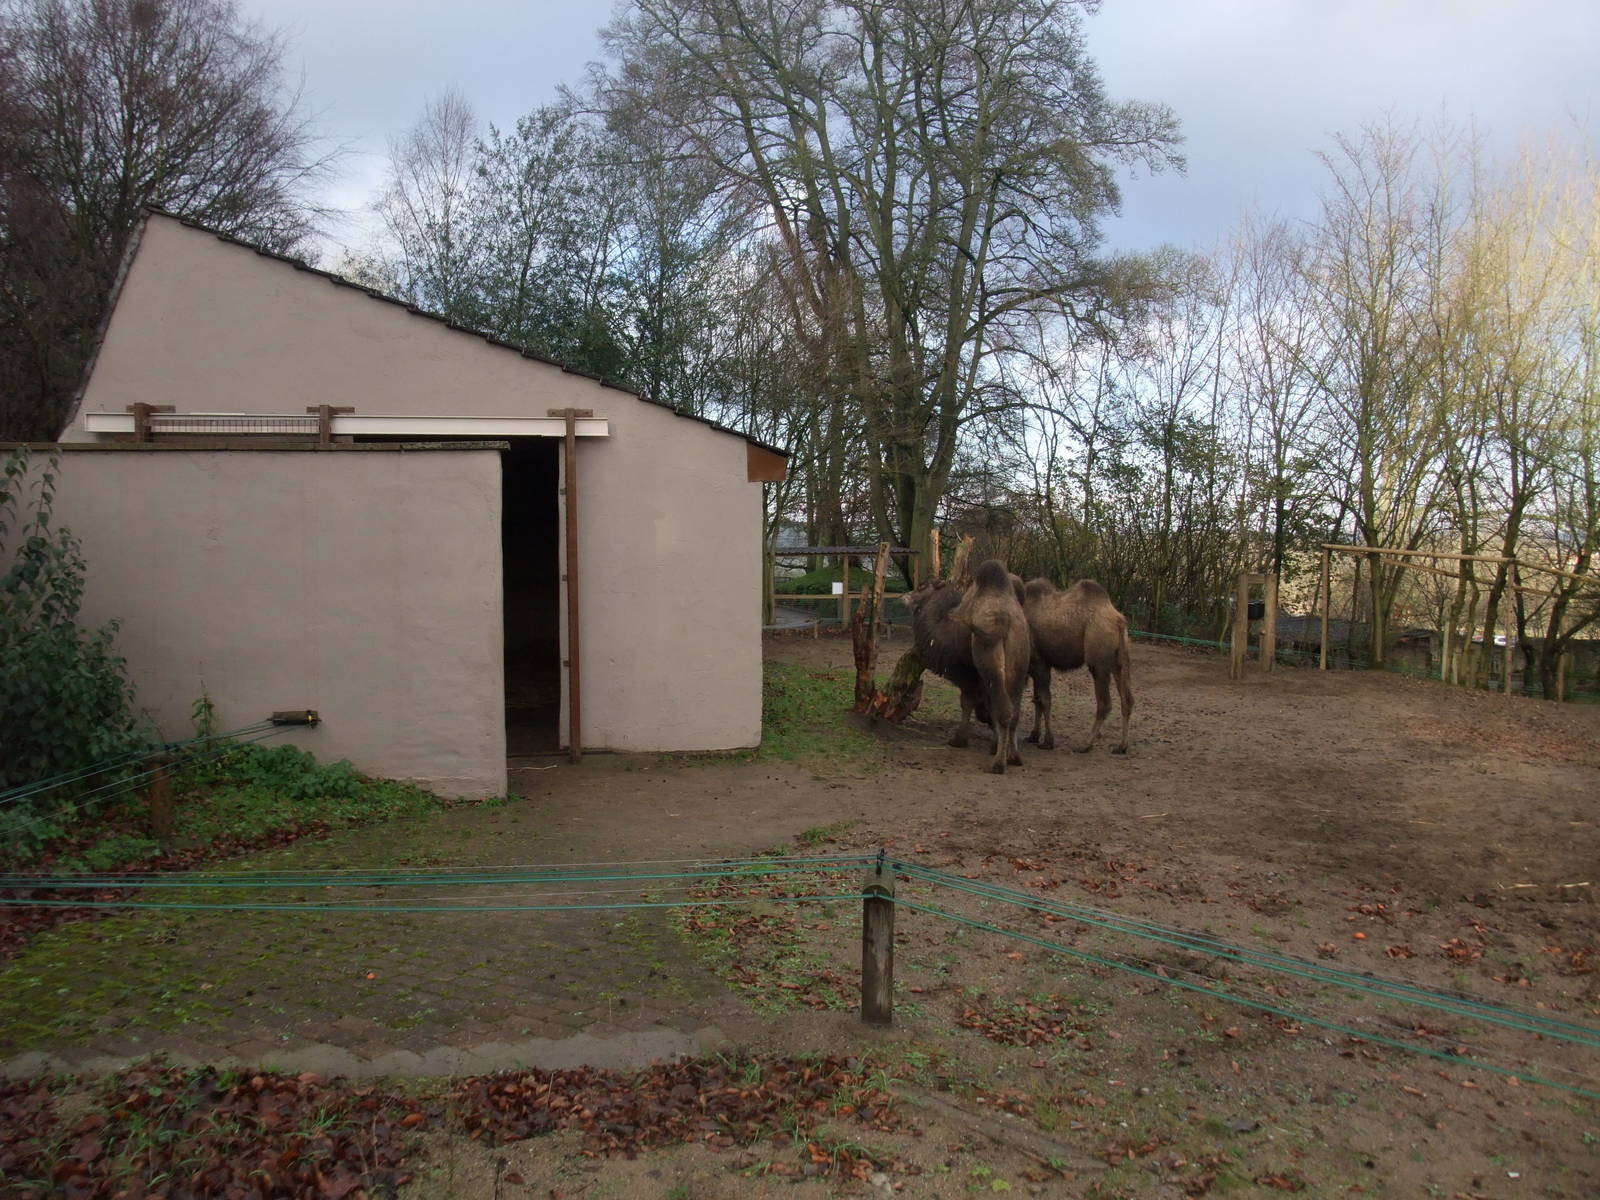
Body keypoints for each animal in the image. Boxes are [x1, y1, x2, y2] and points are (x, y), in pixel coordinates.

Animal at [1022, 577, 1135, 754]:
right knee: (1127, 700)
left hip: (1098, 662)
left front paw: (1047, 742)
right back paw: (1121, 746)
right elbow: (1037, 700)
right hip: (1119, 662)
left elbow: (1044, 699)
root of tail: (1119, 621)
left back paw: (1085, 744)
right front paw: (1033, 736)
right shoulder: (1035, 667)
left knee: (1104, 703)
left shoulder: (1039, 662)